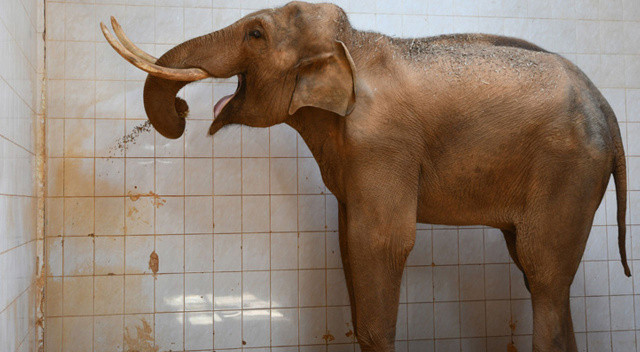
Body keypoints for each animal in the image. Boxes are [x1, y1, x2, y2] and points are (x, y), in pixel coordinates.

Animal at [101, 1, 632, 350]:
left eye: (255, 34)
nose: (182, 110)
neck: (351, 44)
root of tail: (607, 108)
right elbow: (347, 242)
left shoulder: (383, 144)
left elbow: (380, 242)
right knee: (540, 273)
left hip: (569, 170)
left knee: (543, 274)